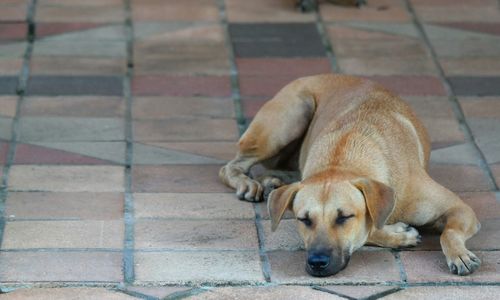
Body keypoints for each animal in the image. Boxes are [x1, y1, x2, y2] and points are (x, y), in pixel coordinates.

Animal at [219, 73, 480, 276]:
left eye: (344, 217)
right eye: (304, 220)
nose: (317, 263)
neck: (341, 160)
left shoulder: (460, 208)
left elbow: (449, 232)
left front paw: (458, 254)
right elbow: (370, 231)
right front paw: (398, 235)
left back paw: (274, 181)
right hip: (288, 119)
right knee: (229, 167)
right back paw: (247, 183)